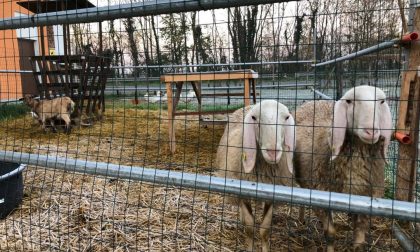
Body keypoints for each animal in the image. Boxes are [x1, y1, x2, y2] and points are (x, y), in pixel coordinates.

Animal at [217, 99, 296, 251]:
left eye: (286, 117)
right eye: (254, 118)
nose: (272, 152)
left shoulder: (272, 194)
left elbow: (264, 229)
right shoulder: (242, 191)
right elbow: (249, 227)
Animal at [294, 85, 392, 251]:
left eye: (382, 101)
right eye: (349, 101)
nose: (371, 130)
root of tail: (313, 102)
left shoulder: (366, 199)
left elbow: (359, 237)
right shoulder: (320, 195)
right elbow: (330, 233)